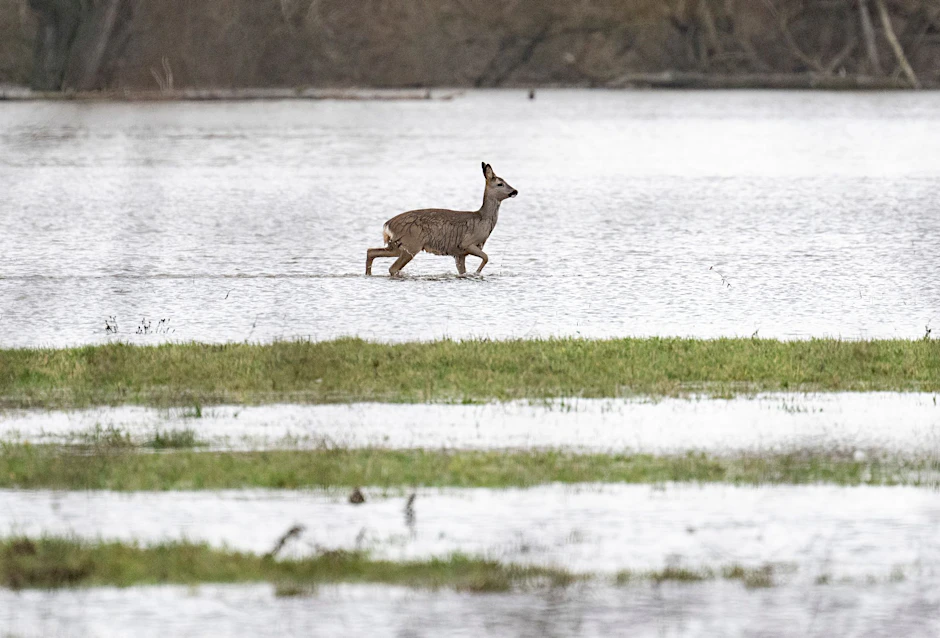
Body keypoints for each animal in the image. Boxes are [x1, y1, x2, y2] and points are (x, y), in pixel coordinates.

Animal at [365, 163, 518, 277]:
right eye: (500, 183)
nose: (515, 191)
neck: (483, 219)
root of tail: (387, 225)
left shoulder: (459, 254)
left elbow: (463, 271)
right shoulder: (467, 243)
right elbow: (486, 257)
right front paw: (477, 272)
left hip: (398, 245)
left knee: (371, 251)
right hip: (411, 244)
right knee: (392, 268)